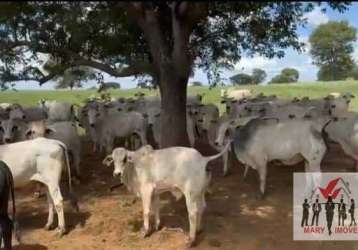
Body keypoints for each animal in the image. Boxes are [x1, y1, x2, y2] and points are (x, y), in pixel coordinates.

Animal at [103, 142, 232, 247]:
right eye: (113, 159)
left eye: (125, 159)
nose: (117, 173)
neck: (134, 167)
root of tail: (203, 159)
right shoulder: (155, 193)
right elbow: (156, 208)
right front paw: (157, 226)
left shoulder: (146, 190)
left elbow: (146, 211)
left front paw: (145, 231)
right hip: (200, 192)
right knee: (202, 207)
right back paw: (198, 229)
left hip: (190, 193)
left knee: (193, 213)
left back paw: (191, 240)